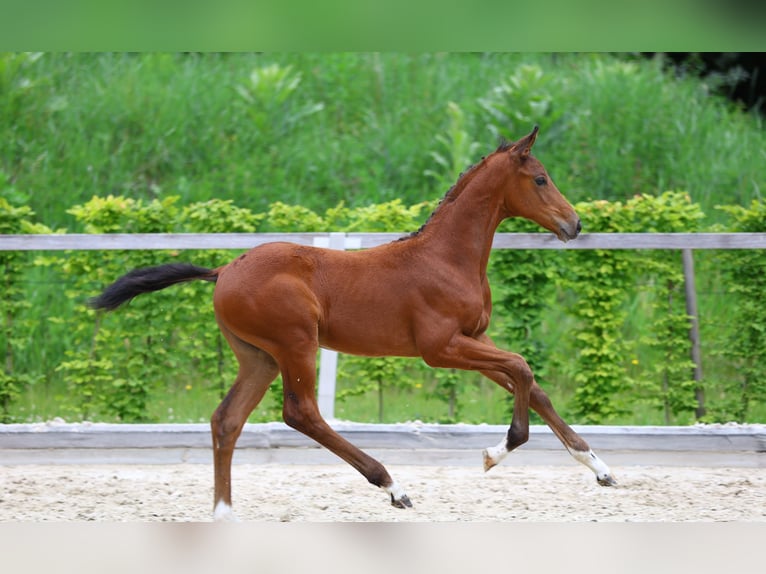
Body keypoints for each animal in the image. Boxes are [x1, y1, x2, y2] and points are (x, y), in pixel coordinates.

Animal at [90, 128, 616, 524]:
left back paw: (224, 513)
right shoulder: (441, 347)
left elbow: (533, 385)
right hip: (296, 344)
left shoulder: (472, 339)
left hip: (258, 357)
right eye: (541, 179)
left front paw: (600, 468)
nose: (575, 224)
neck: (446, 258)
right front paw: (495, 452)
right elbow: (523, 368)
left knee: (227, 419)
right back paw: (393, 486)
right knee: (300, 413)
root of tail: (224, 270)